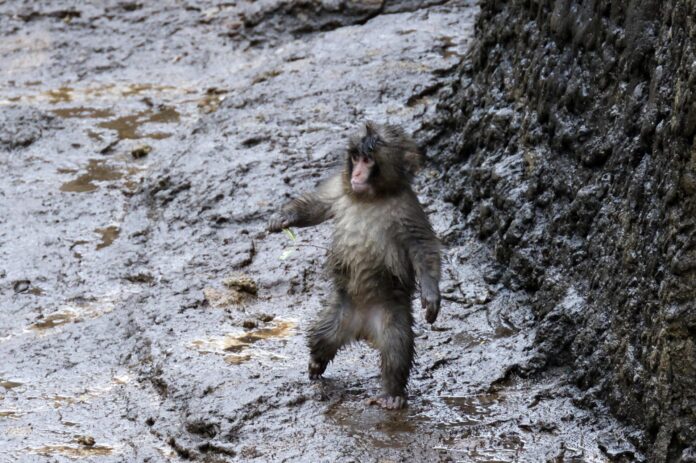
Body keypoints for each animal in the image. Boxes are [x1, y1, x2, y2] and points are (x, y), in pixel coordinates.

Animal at [268, 122, 441, 409]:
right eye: (357, 157)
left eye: (369, 159)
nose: (358, 173)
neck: (370, 198)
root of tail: (363, 329)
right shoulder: (341, 186)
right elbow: (317, 206)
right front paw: (284, 217)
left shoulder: (406, 209)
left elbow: (422, 247)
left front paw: (431, 294)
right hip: (342, 310)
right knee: (324, 333)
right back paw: (317, 361)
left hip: (389, 313)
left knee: (397, 345)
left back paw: (392, 392)